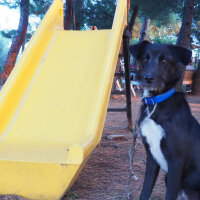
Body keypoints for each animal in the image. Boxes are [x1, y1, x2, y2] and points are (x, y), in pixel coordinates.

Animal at [130, 41, 200, 200]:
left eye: (164, 60)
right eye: (145, 59)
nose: (148, 78)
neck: (155, 102)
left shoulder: (176, 160)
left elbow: (169, 194)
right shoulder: (151, 157)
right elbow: (145, 190)